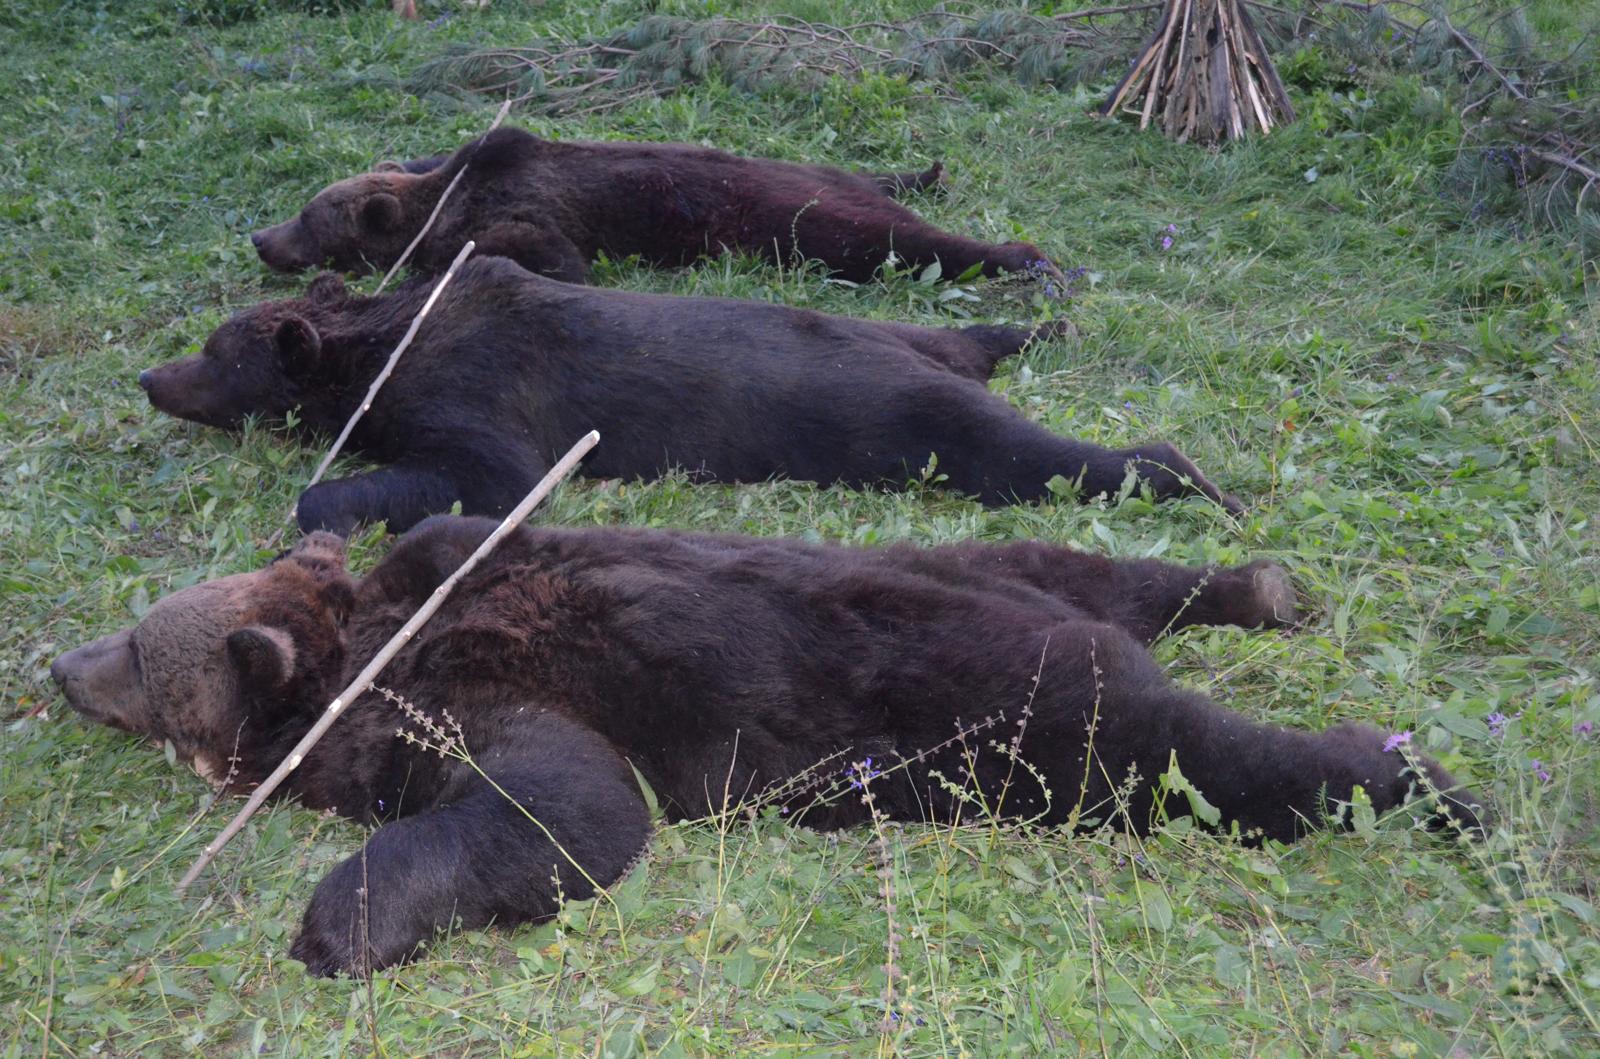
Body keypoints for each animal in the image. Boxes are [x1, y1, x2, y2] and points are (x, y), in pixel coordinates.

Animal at [46, 521, 1472, 979]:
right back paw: (1252, 588)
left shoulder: (464, 691)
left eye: (135, 653)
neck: (361, 646)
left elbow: (564, 806)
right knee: (1102, 567)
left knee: (1202, 759)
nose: (56, 667)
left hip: (1037, 720)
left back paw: (1421, 781)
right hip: (980, 569)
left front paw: (338, 920)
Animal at [137, 257, 1235, 540]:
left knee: (1039, 458)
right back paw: (1039, 327)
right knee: (967, 338)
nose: (152, 378)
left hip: (909, 420)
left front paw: (321, 505)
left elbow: (496, 476)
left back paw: (1195, 479)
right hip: (909, 339)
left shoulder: (480, 398)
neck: (382, 347)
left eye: (214, 353)